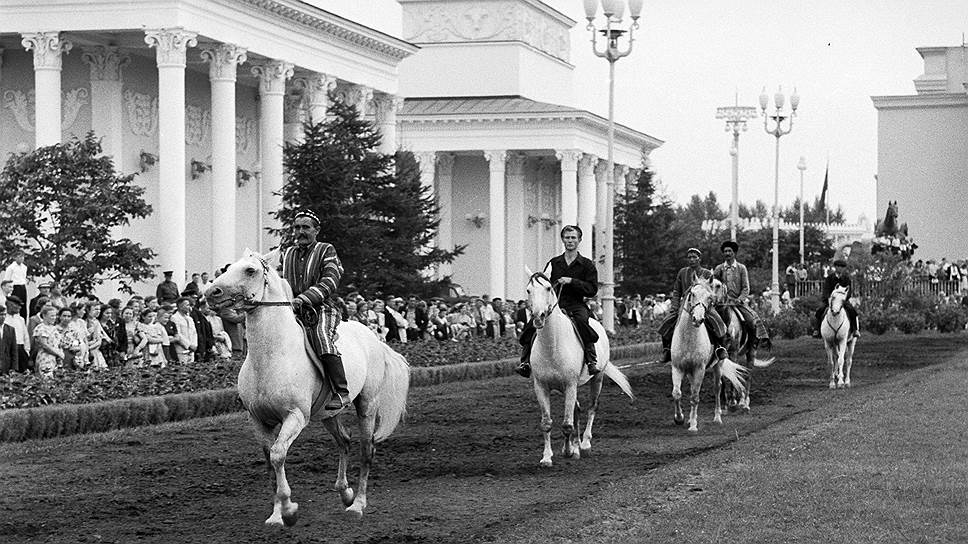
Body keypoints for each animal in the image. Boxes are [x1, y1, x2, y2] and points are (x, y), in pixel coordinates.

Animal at [206, 251, 410, 528]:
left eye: (250, 270)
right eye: (227, 267)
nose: (211, 292)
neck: (271, 355)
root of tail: (373, 338)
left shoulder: (295, 416)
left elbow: (278, 455)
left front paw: (289, 510)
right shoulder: (258, 420)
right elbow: (269, 463)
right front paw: (276, 516)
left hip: (367, 405)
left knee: (366, 450)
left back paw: (357, 505)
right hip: (328, 414)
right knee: (344, 441)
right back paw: (345, 493)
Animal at [520, 264, 636, 468]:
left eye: (548, 288)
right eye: (528, 290)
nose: (538, 317)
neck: (552, 345)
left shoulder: (570, 384)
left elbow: (567, 424)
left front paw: (568, 451)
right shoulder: (541, 386)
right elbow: (547, 423)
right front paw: (547, 457)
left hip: (597, 378)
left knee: (591, 407)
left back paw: (584, 444)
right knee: (577, 410)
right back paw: (575, 446)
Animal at [672, 278, 748, 432]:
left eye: (709, 297)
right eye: (692, 294)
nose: (698, 319)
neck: (688, 338)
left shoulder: (699, 369)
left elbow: (695, 397)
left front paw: (693, 426)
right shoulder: (677, 367)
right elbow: (677, 393)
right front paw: (680, 418)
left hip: (718, 364)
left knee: (717, 387)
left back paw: (717, 417)